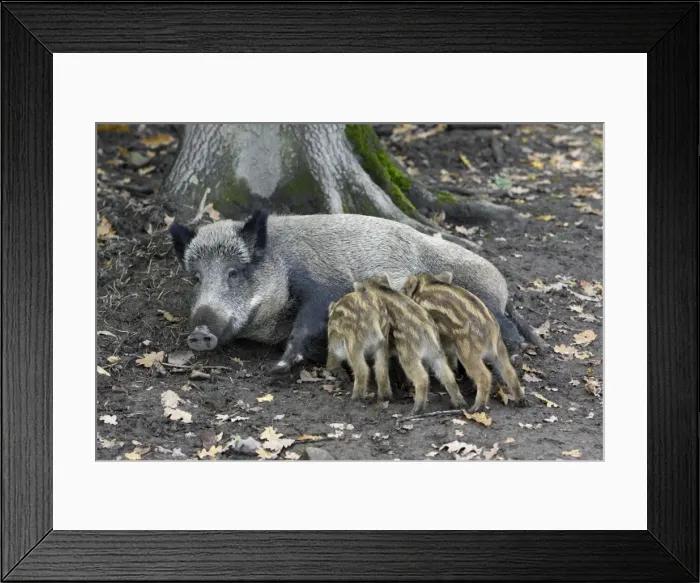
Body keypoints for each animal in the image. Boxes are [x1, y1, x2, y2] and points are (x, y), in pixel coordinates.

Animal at [169, 210, 541, 376]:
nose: (200, 331)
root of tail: (503, 287)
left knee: (509, 333)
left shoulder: (323, 283)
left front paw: (279, 367)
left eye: (234, 272)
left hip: (483, 296)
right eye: (197, 277)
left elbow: (309, 321)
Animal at [353, 274, 466, 414]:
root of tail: (428, 328)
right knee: (448, 376)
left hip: (408, 355)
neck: (378, 287)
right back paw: (459, 404)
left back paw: (416, 410)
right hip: (436, 353)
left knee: (422, 378)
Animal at [403, 271, 528, 412]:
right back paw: (521, 401)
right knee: (510, 372)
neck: (424, 286)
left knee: (485, 376)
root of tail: (491, 330)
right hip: (500, 350)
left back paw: (476, 408)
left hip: (468, 353)